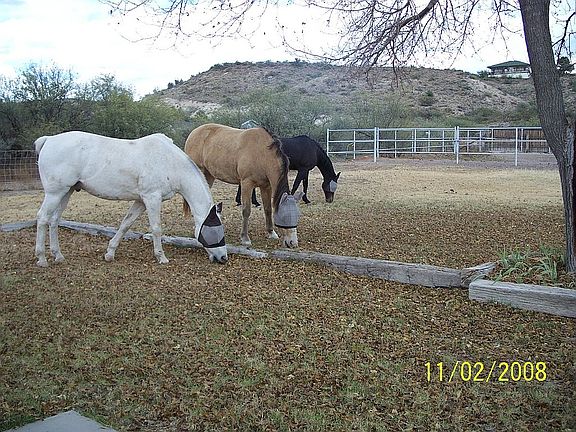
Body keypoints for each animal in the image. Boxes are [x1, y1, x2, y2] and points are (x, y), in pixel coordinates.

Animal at [34, 131, 228, 267]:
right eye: (217, 228)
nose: (224, 257)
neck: (170, 162)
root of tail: (48, 140)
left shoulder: (141, 201)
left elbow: (125, 224)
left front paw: (110, 253)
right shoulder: (152, 198)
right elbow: (156, 228)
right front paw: (161, 257)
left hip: (66, 192)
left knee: (54, 220)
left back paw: (58, 256)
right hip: (54, 193)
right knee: (43, 218)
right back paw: (42, 259)